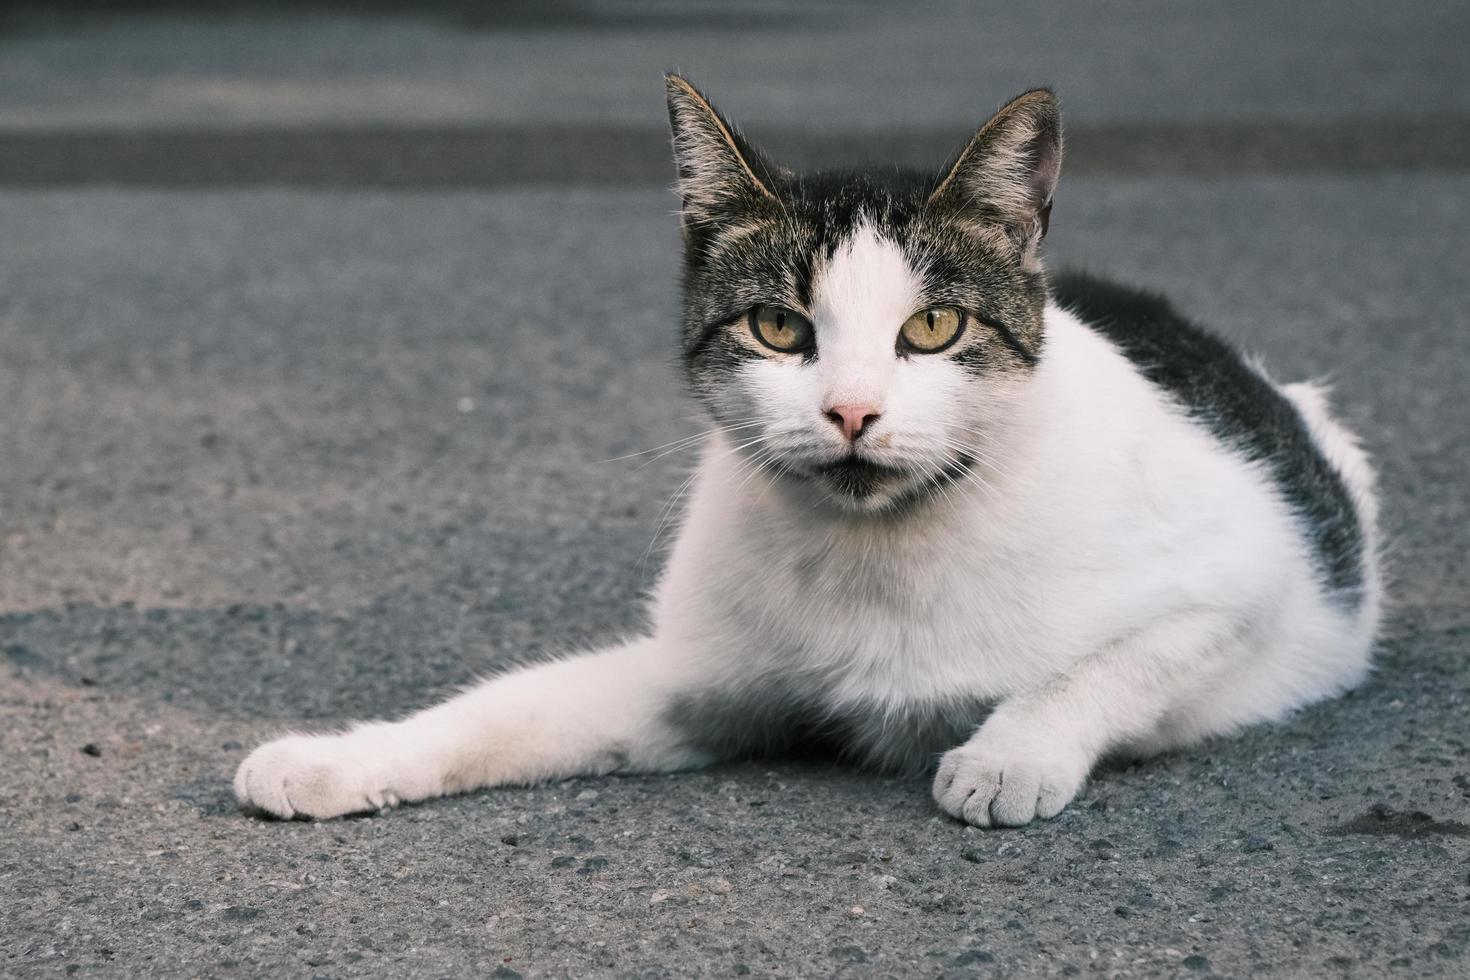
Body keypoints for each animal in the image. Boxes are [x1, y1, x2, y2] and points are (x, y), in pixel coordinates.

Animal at [229, 74, 1375, 828]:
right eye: (779, 329)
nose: (852, 411)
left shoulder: (1254, 572)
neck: (881, 551)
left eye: (933, 328)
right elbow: (502, 710)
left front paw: (1011, 753)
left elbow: (1109, 665)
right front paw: (339, 758)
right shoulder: (690, 684)